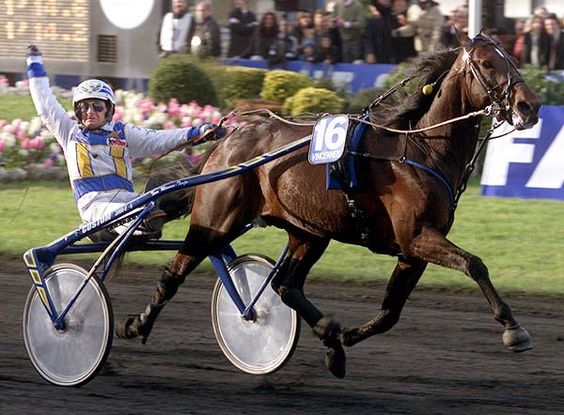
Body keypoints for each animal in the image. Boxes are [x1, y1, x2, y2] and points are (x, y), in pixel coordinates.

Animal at [115, 30, 540, 378]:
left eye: (512, 59)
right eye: (487, 63)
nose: (530, 106)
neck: (420, 147)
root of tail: (228, 139)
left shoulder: (412, 251)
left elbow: (390, 313)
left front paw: (346, 337)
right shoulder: (419, 237)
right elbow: (475, 263)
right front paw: (513, 329)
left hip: (309, 232)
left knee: (286, 285)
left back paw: (331, 340)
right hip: (215, 222)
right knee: (175, 271)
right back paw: (135, 324)